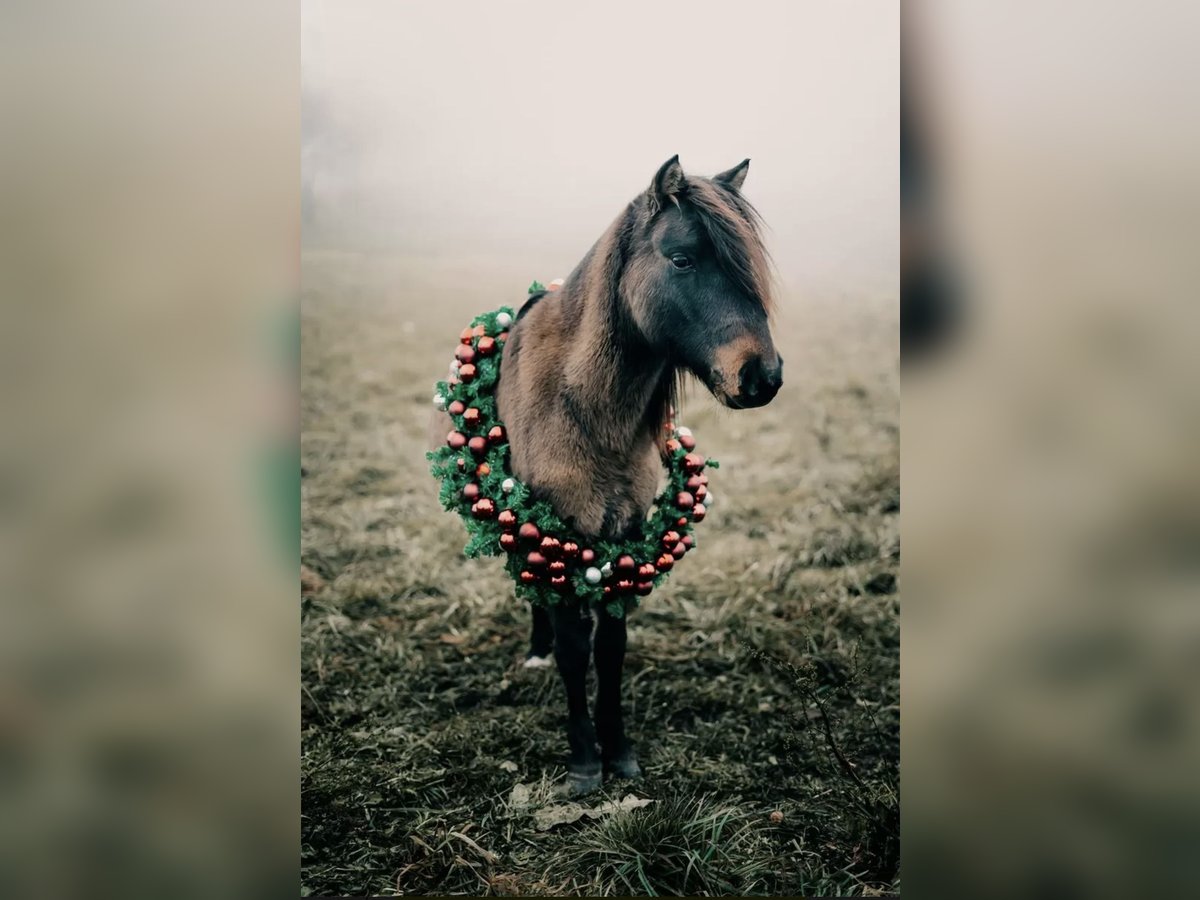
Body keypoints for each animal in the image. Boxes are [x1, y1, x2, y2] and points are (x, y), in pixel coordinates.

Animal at [456, 157, 777, 796]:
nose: (763, 375)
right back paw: (536, 651)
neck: (583, 405)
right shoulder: (556, 531)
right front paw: (584, 761)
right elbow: (574, 650)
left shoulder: (625, 535)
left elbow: (610, 648)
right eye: (682, 259)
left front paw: (619, 752)